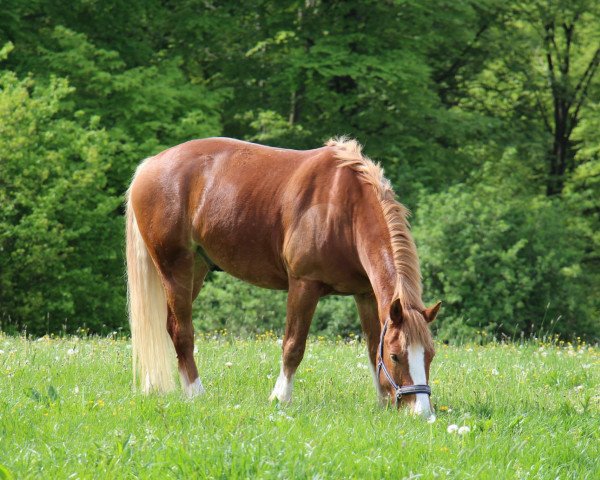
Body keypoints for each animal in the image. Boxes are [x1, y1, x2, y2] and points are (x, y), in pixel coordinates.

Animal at [125, 137, 440, 418]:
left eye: (430, 354)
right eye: (397, 356)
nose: (422, 413)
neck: (344, 207)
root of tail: (150, 165)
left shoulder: (365, 294)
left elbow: (373, 346)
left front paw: (382, 401)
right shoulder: (304, 285)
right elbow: (293, 346)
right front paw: (280, 397)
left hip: (196, 269)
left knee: (165, 325)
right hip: (175, 267)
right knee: (182, 331)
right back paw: (195, 393)